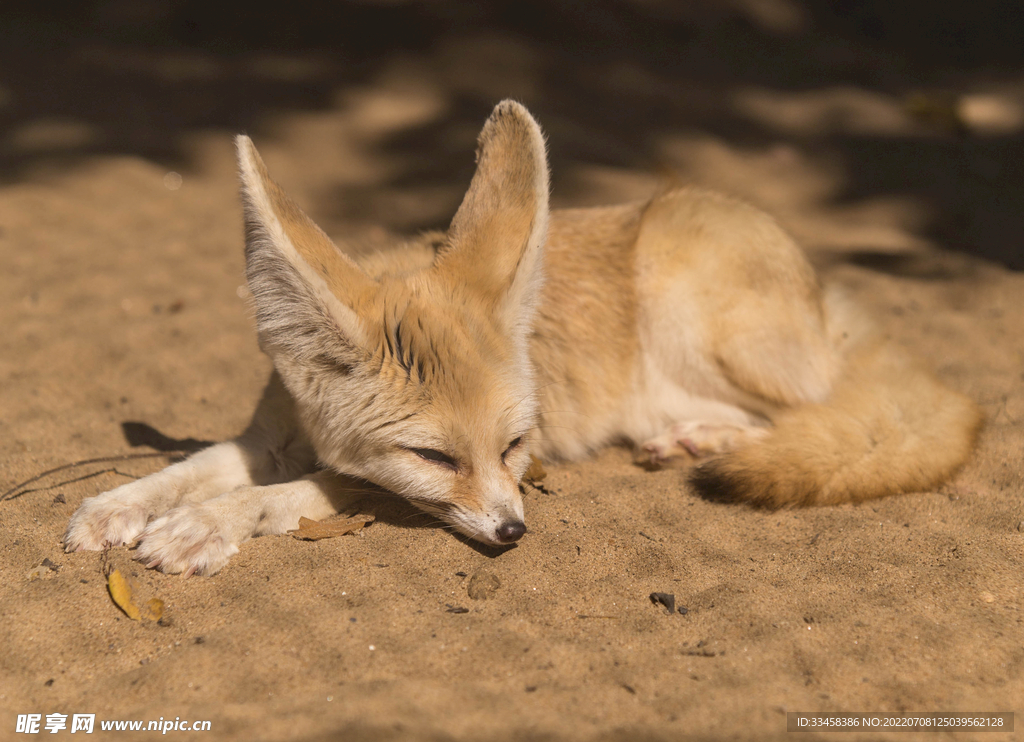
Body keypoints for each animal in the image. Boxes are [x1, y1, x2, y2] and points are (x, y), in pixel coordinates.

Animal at [61, 99, 974, 573]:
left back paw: (705, 440)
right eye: (435, 455)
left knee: (818, 413)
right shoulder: (273, 436)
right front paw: (121, 506)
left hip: (691, 303)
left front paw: (206, 525)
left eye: (513, 445)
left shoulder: (407, 479)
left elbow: (300, 492)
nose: (514, 533)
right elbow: (193, 464)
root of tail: (832, 302)